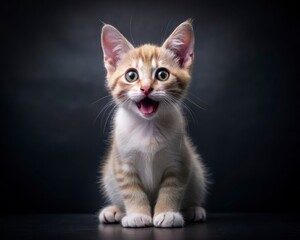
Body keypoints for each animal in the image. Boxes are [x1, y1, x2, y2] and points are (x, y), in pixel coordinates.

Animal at [98, 19, 206, 228]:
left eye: (162, 74)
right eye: (131, 75)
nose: (146, 88)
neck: (147, 127)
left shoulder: (179, 162)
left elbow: (172, 190)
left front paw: (167, 213)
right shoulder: (122, 164)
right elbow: (131, 191)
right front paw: (137, 215)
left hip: (197, 174)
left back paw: (193, 210)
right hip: (109, 175)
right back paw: (114, 211)